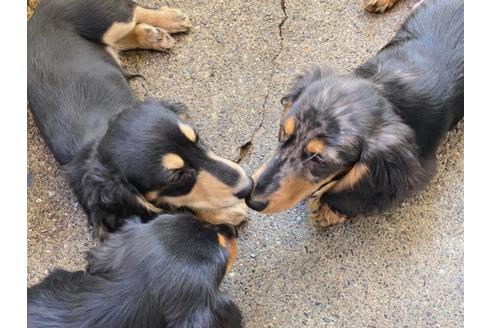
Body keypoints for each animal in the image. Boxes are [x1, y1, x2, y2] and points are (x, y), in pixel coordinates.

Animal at [27, 0, 252, 236]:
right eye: (176, 177)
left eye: (197, 138)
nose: (249, 185)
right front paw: (224, 213)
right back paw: (153, 35)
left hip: (113, 19)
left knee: (134, 10)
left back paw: (169, 21)